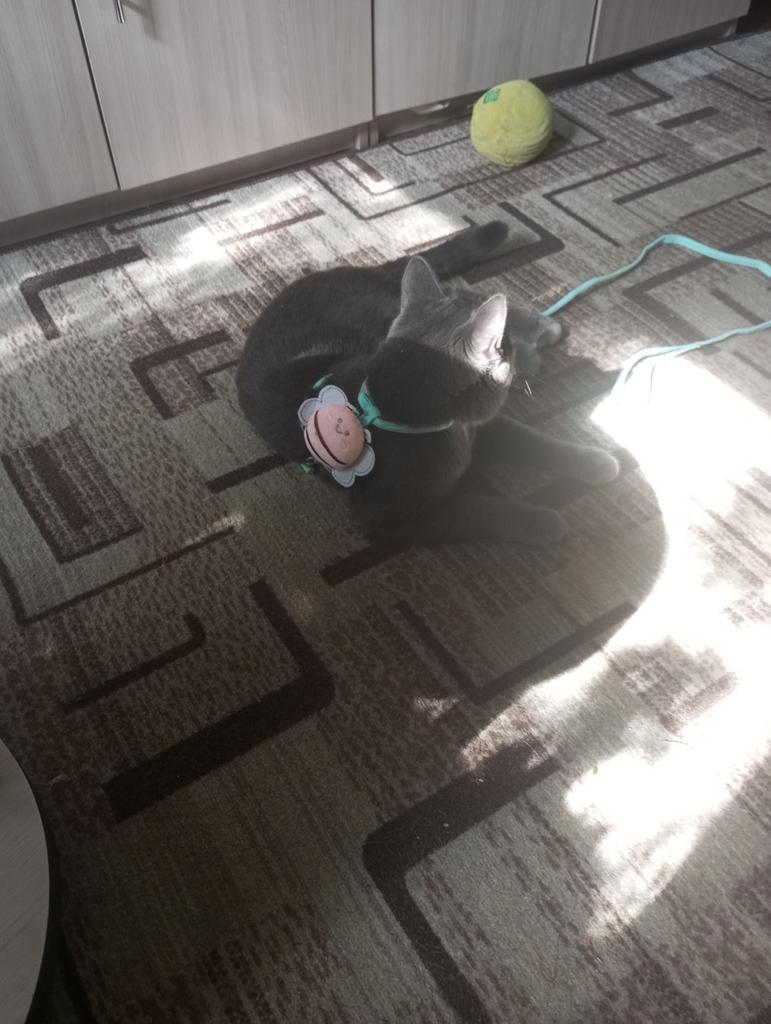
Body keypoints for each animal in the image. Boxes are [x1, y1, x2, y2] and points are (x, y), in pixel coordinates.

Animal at [237, 220, 619, 546]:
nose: (506, 349)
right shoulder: (392, 521)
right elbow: (480, 511)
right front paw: (543, 522)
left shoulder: (481, 427)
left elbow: (534, 441)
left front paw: (595, 462)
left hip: (387, 307)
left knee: (475, 296)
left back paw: (540, 332)